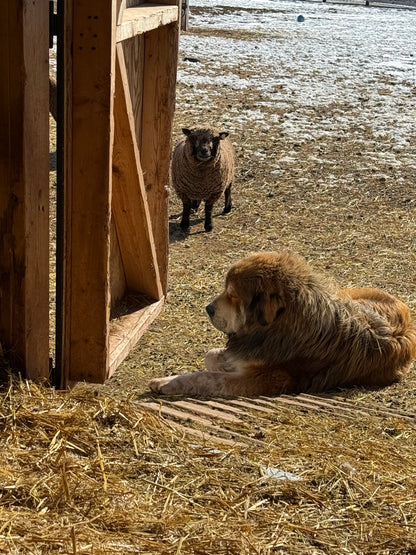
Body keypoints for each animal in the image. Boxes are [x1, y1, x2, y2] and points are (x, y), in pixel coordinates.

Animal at [150, 252, 416, 400]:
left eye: (233, 295)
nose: (208, 308)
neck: (279, 326)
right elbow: (212, 357)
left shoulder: (269, 379)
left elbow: (207, 376)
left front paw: (166, 383)